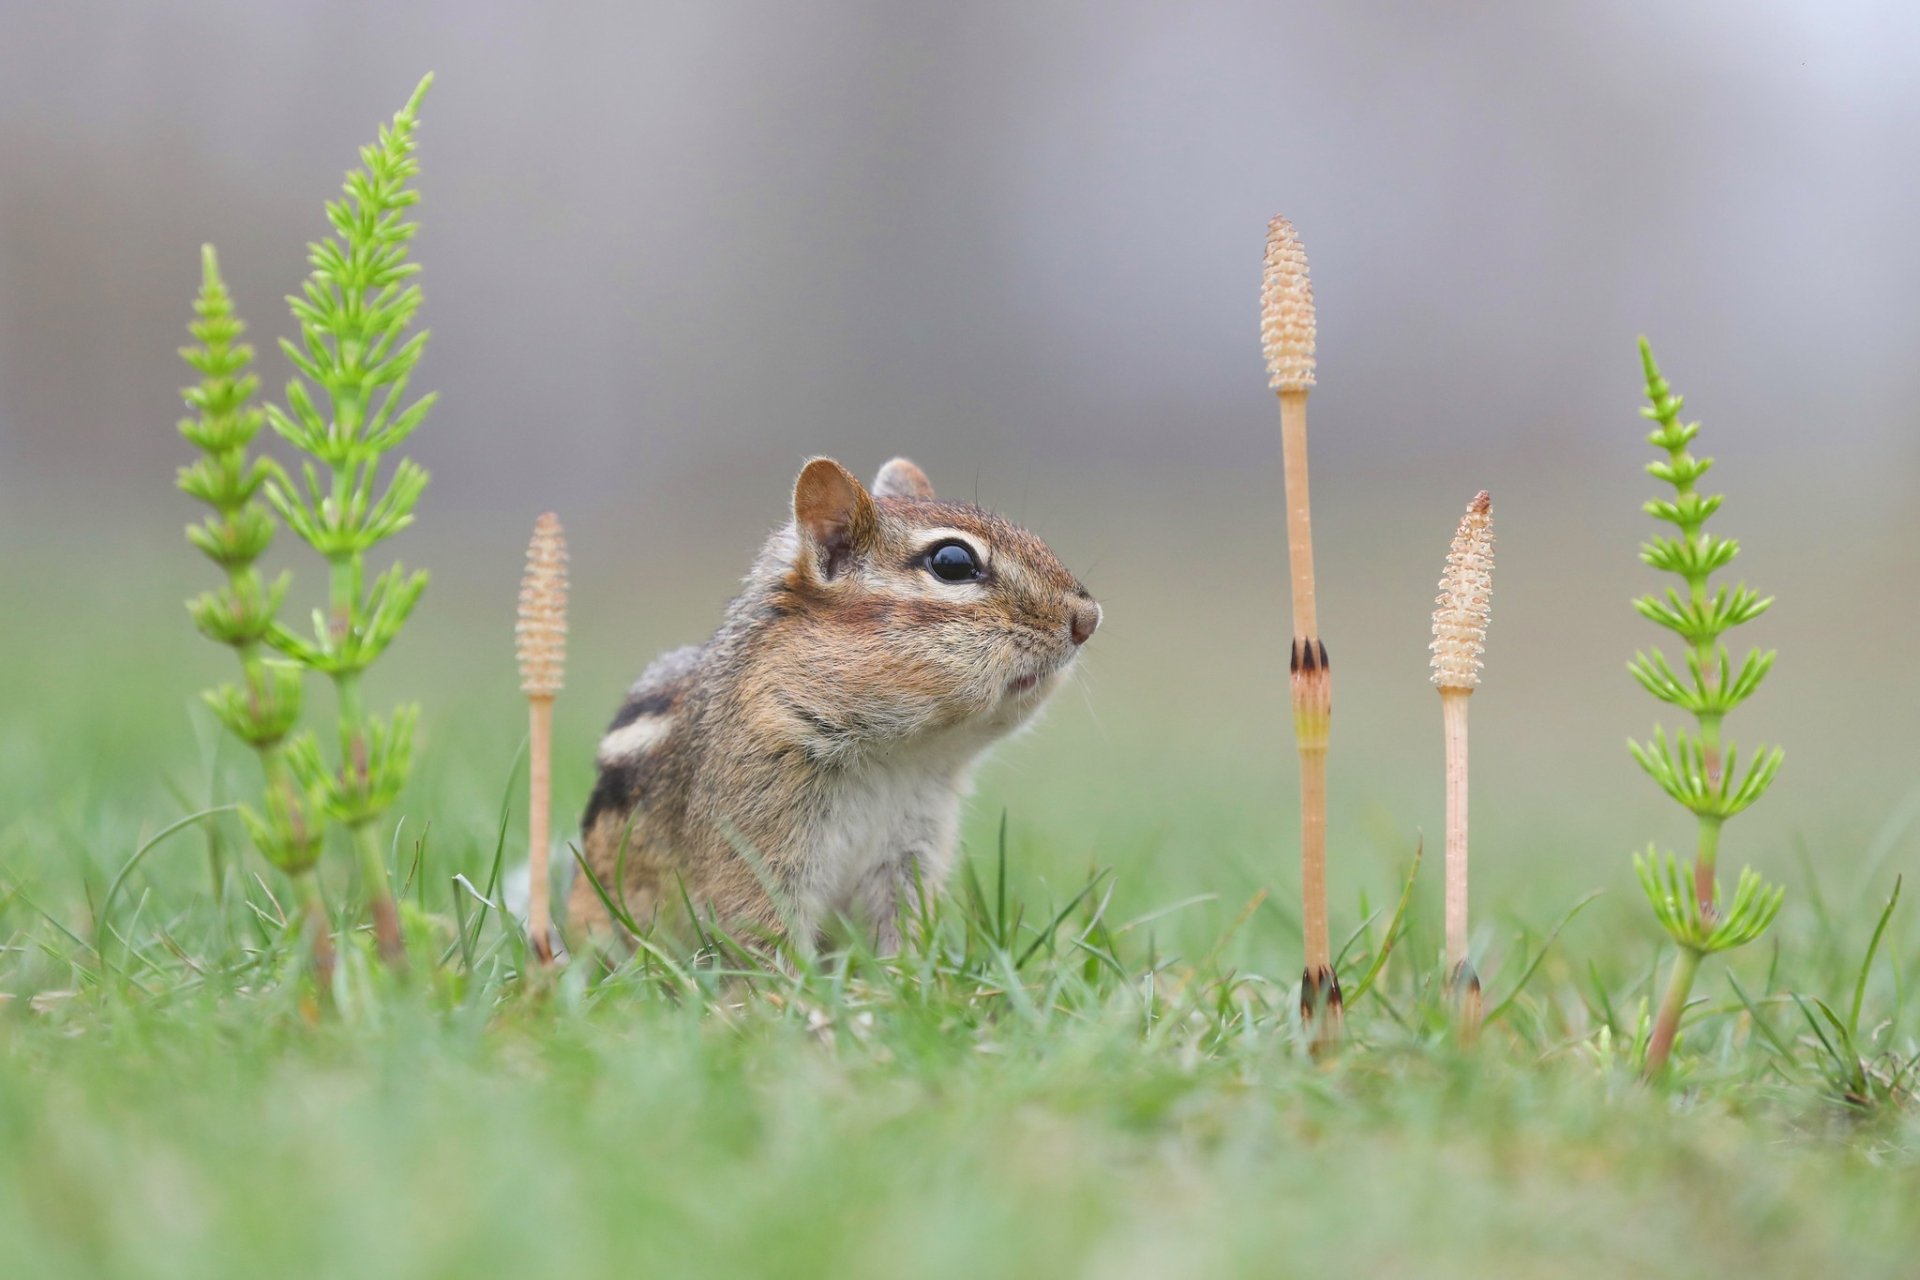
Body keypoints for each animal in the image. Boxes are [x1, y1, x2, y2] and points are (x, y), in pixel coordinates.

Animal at [569, 456, 1100, 954]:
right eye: (952, 563)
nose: (1088, 618)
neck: (899, 755)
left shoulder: (911, 850)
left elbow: (902, 929)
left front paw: (903, 979)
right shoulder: (754, 845)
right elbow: (765, 932)